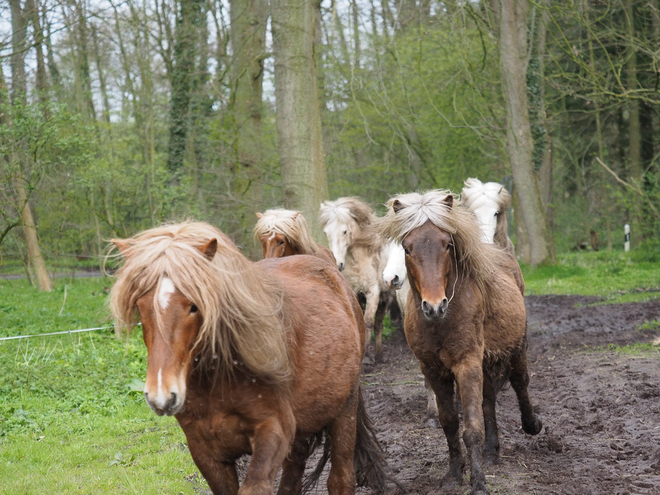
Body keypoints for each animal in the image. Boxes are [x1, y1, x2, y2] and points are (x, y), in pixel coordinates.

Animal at [109, 222, 386, 495]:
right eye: (140, 305)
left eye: (194, 306)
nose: (162, 396)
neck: (219, 379)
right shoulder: (205, 450)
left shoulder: (273, 432)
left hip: (344, 410)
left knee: (340, 478)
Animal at [320, 198, 392, 364]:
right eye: (326, 233)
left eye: (345, 231)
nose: (338, 263)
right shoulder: (354, 293)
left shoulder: (373, 293)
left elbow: (368, 322)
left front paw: (365, 358)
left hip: (386, 299)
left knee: (378, 324)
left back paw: (379, 355)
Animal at [376, 192, 540, 495]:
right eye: (407, 248)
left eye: (447, 244)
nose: (434, 306)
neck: (442, 321)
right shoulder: (433, 369)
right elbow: (450, 422)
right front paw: (454, 474)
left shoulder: (466, 364)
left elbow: (471, 428)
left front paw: (478, 484)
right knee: (488, 399)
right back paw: (491, 450)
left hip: (516, 347)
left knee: (520, 382)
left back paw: (532, 424)